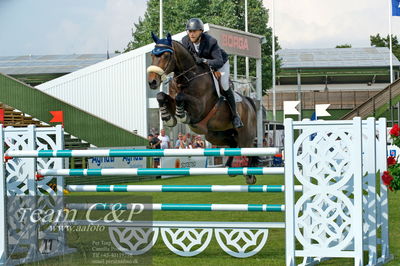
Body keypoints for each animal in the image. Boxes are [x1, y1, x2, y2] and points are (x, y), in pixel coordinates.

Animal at [148, 32, 260, 184]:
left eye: (166, 55)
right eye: (152, 55)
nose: (152, 82)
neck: (188, 77)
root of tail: (249, 102)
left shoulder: (199, 108)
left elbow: (180, 97)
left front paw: (181, 114)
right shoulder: (171, 98)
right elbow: (161, 96)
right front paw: (168, 117)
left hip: (245, 135)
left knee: (248, 148)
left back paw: (249, 175)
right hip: (215, 135)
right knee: (233, 144)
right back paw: (229, 167)